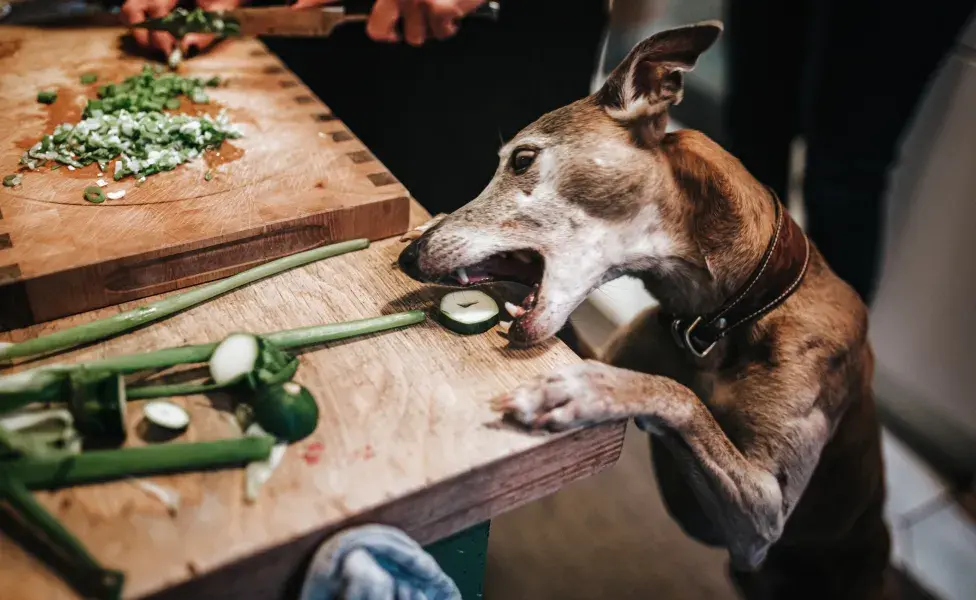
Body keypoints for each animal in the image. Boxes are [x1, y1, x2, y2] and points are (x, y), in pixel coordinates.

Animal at [394, 19, 892, 600]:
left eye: (522, 159)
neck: (722, 318)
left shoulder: (764, 518)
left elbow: (677, 396)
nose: (410, 258)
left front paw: (588, 391)